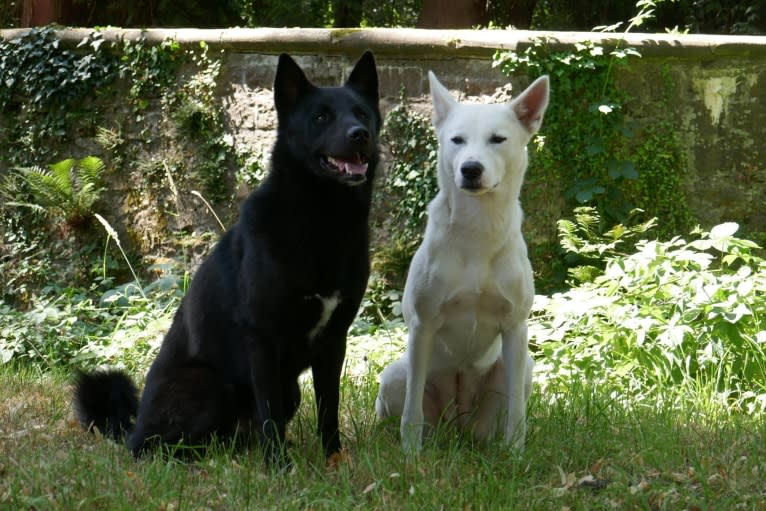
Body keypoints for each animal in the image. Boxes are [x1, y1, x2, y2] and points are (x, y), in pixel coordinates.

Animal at [75, 51, 380, 468]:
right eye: (321, 117)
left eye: (361, 113)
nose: (359, 134)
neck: (321, 219)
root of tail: (134, 426)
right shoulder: (263, 339)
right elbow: (269, 413)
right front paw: (278, 467)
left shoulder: (333, 340)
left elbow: (327, 409)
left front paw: (332, 459)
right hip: (210, 386)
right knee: (158, 447)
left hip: (288, 390)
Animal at [376, 71, 548, 452]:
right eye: (456, 140)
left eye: (498, 139)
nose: (471, 169)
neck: (477, 231)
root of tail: (457, 425)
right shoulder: (423, 326)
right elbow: (411, 410)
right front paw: (410, 454)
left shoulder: (515, 327)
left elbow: (517, 412)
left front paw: (517, 452)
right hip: (395, 375)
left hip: (521, 370)